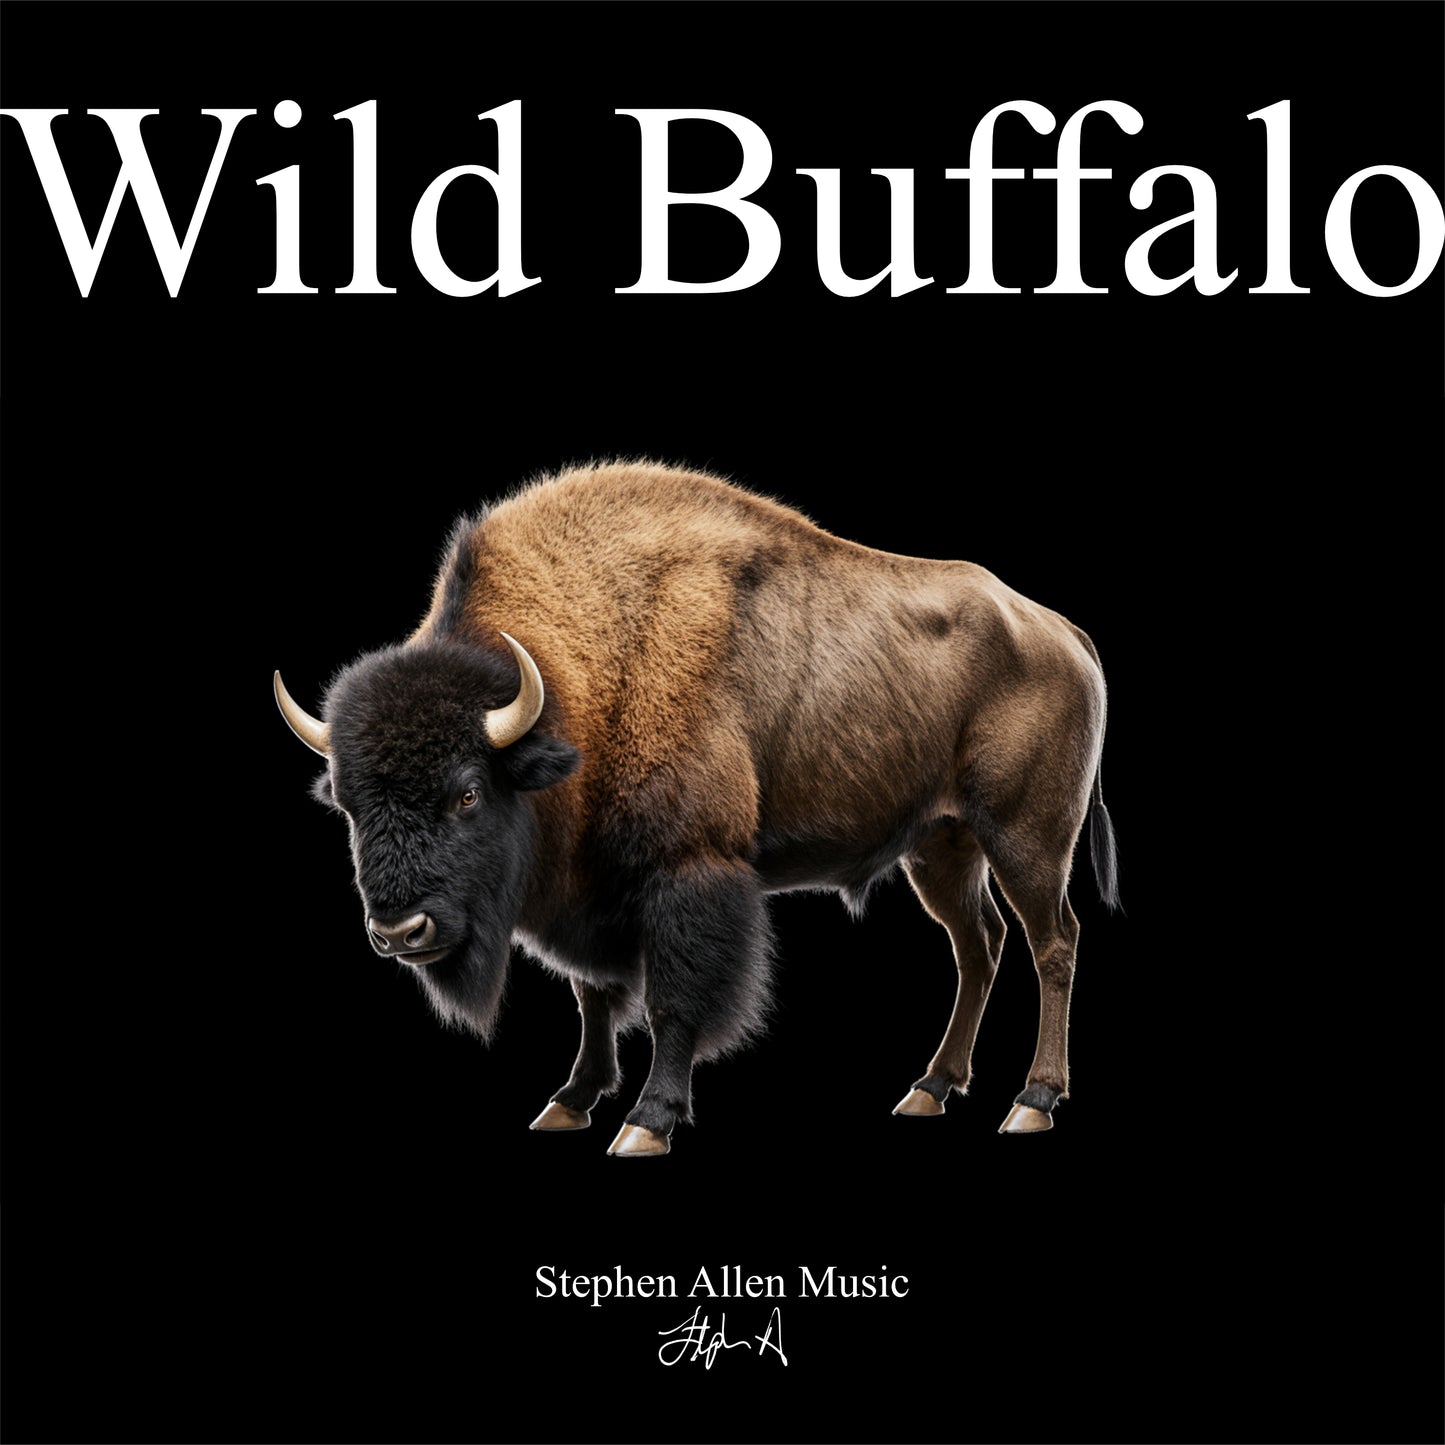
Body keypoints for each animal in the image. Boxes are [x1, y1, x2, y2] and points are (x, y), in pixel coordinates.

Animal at [275, 461, 1117, 1155]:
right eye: (347, 805)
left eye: (466, 791)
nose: (398, 931)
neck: (587, 671)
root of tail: (1059, 630)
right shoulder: (592, 888)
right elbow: (593, 995)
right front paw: (569, 1100)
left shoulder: (687, 871)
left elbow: (672, 1000)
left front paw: (647, 1121)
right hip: (939, 845)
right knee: (978, 945)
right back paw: (930, 1088)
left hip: (1026, 839)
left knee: (1053, 942)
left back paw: (1032, 1100)